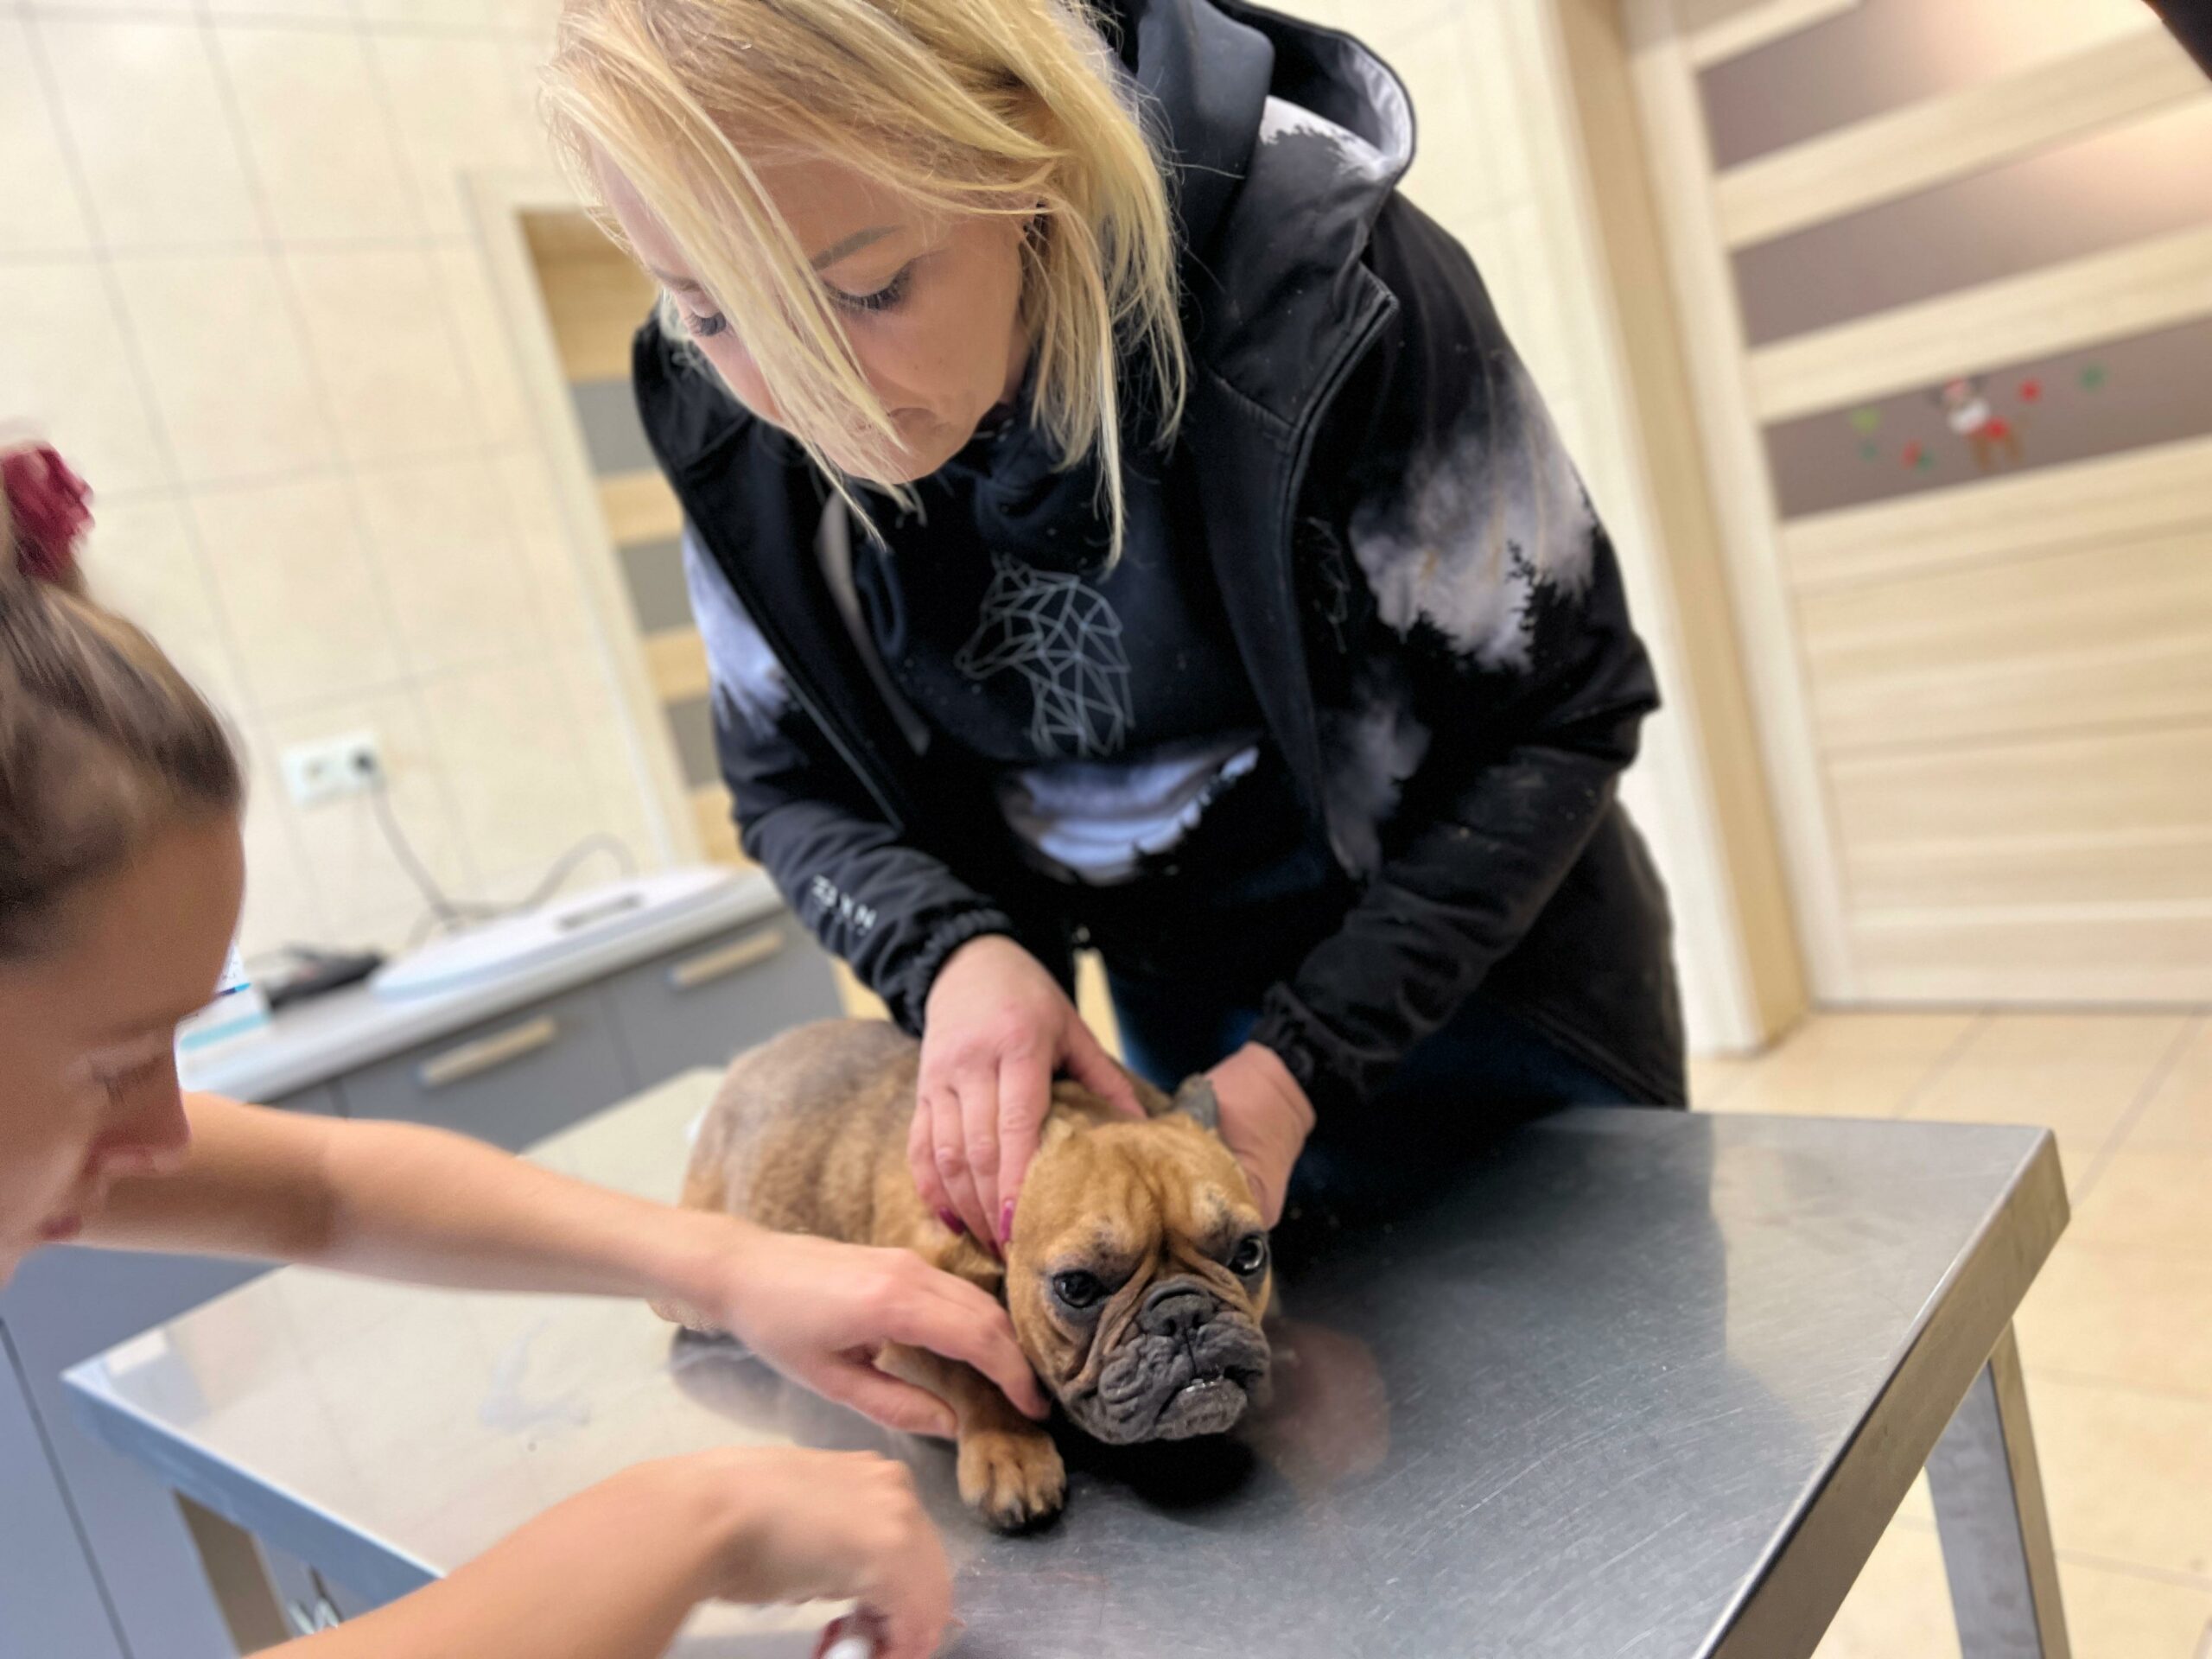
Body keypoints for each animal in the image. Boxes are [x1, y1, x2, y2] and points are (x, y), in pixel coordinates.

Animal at [662, 1019, 1274, 1530]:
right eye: (1077, 1287)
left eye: (1249, 1253)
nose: (1183, 1312)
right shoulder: (904, 1323)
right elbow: (973, 1374)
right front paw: (1010, 1449)